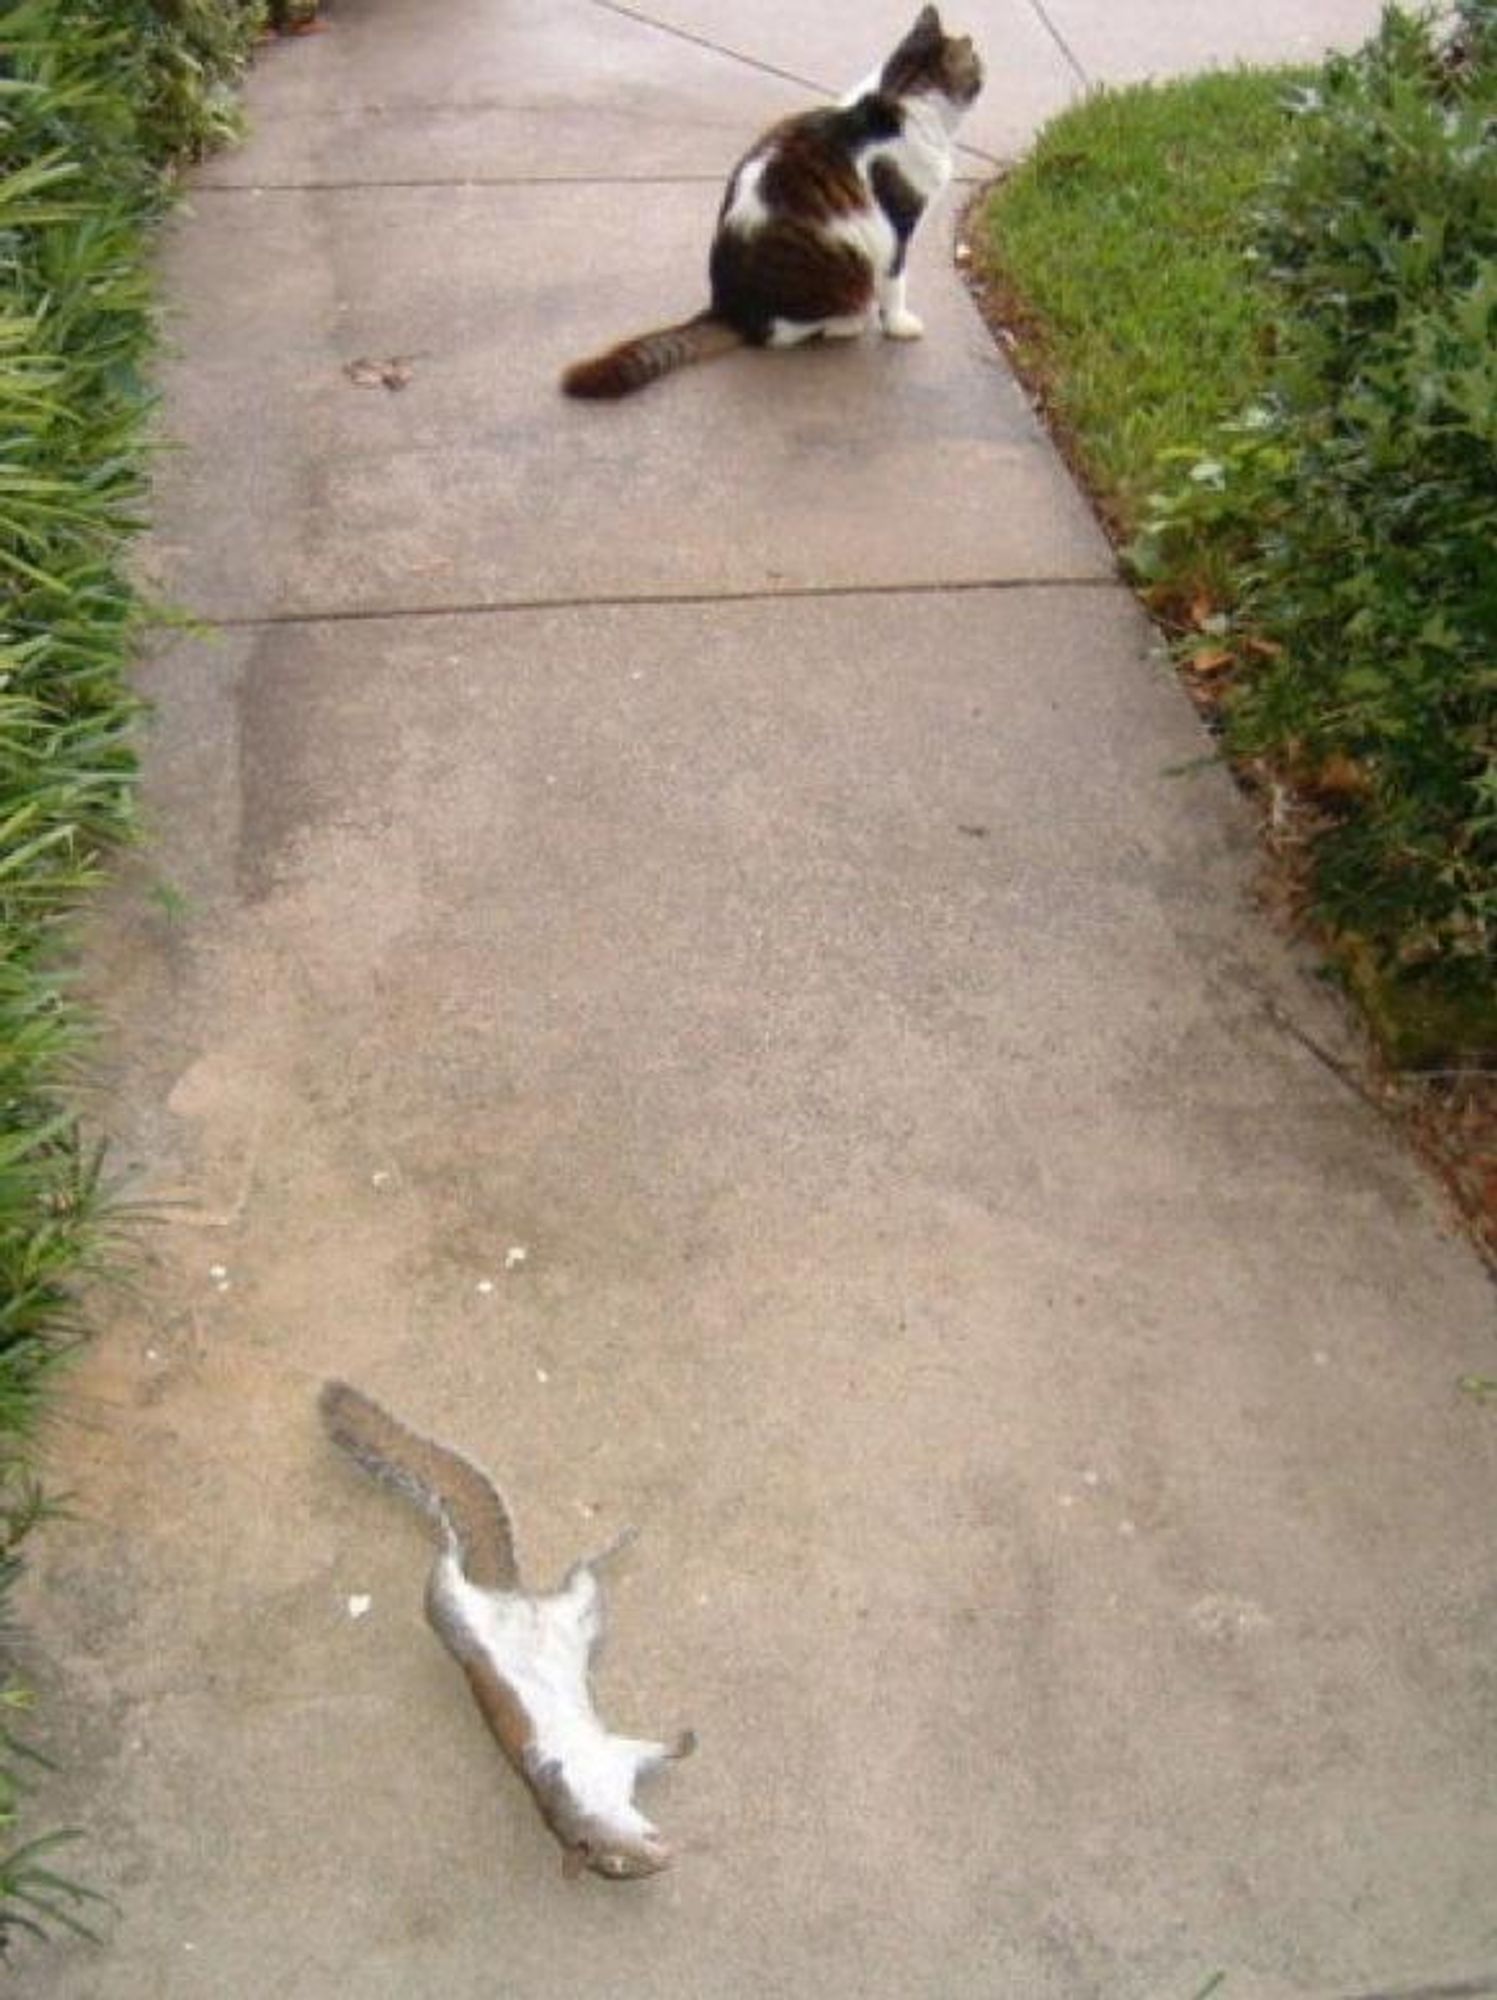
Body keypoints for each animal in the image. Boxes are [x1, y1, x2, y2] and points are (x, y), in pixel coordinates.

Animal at [318, 1384, 692, 1880]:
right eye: (615, 1864)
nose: (664, 1859)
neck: (597, 1795)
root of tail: (505, 1594)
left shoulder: (619, 1758)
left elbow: (652, 1751)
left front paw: (684, 1744)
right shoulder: (590, 1772)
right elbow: (553, 1767)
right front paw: (547, 1762)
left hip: (579, 1610)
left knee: (578, 1565)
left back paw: (617, 1538)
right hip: (457, 1601)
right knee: (457, 1559)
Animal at [560, 4, 980, 398]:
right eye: (977, 66)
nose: (984, 72)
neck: (897, 97)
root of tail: (727, 308)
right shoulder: (897, 224)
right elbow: (896, 282)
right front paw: (898, 324)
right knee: (782, 333)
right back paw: (847, 323)